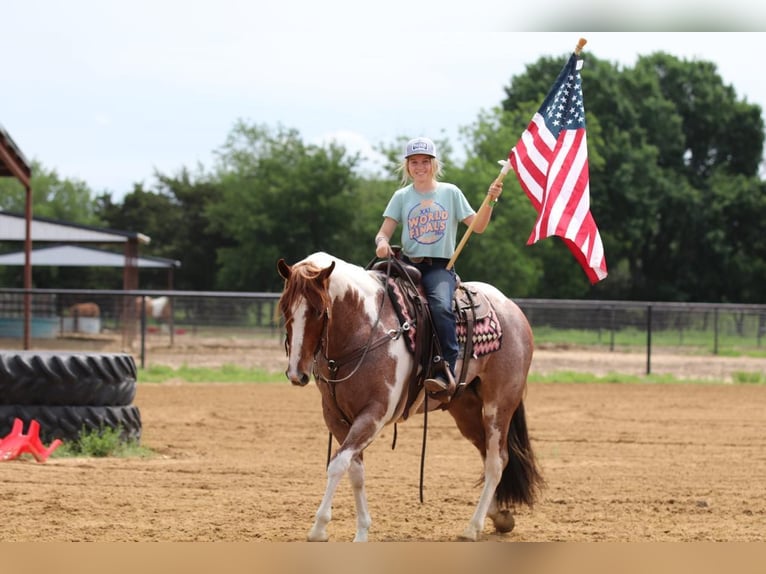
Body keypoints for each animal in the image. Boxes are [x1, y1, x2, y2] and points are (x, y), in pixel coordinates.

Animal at [280, 253, 544, 544]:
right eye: (285, 309)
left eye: (318, 311)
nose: (297, 373)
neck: (365, 328)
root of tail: (511, 308)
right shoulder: (336, 417)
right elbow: (355, 470)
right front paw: (362, 530)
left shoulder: (374, 414)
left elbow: (338, 464)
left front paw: (318, 528)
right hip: (466, 410)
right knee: (487, 455)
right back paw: (498, 516)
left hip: (500, 404)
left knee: (497, 461)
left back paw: (472, 527)